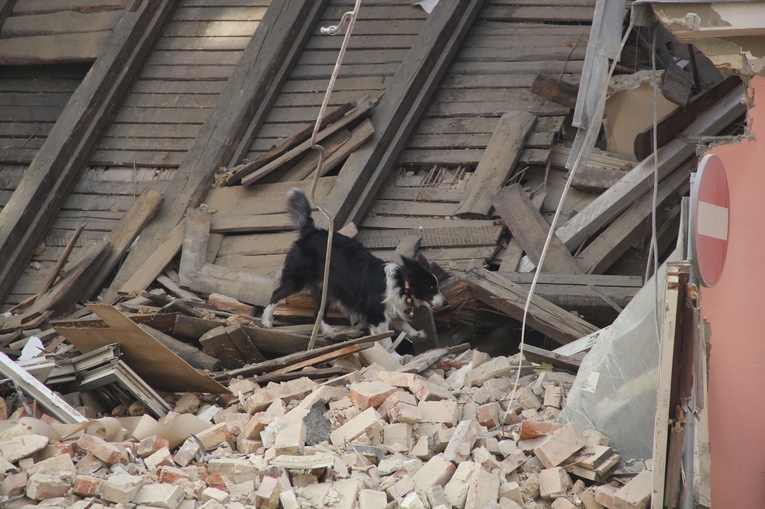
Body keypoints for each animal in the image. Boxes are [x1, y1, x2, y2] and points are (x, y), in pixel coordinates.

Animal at [260, 187, 444, 338]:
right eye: (431, 287)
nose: (445, 303)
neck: (402, 283)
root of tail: (311, 232)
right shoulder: (376, 315)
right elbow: (384, 338)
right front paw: (395, 356)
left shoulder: (389, 311)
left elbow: (404, 324)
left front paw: (416, 333)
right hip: (298, 278)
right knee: (276, 294)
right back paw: (267, 321)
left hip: (327, 288)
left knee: (318, 310)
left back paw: (329, 330)